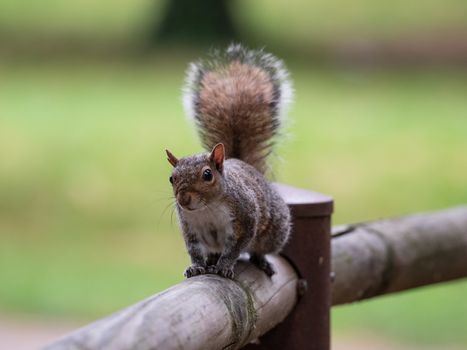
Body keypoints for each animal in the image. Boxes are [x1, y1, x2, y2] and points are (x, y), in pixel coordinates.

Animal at [166, 44, 292, 278]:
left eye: (207, 175)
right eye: (172, 178)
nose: (183, 199)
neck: (207, 208)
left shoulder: (246, 218)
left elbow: (235, 248)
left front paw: (224, 267)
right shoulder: (190, 228)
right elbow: (194, 249)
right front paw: (196, 266)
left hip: (275, 231)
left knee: (259, 250)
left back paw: (260, 261)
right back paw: (211, 259)